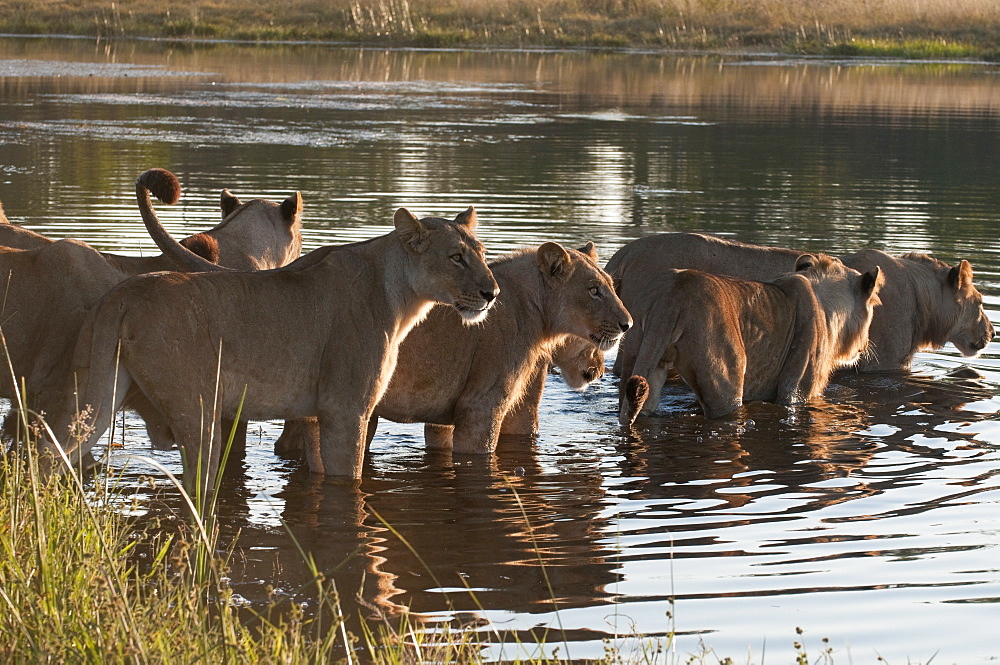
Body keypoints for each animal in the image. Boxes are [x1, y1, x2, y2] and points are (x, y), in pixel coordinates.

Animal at [47, 205, 500, 496]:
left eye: (482, 255)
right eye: (456, 257)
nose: (492, 293)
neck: (400, 293)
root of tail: (121, 296)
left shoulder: (317, 414)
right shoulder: (347, 407)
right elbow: (348, 479)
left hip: (94, 397)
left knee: (47, 453)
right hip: (198, 412)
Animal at [616, 252, 884, 422]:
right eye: (874, 305)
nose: (865, 345)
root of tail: (671, 294)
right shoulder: (795, 391)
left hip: (640, 356)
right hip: (725, 379)